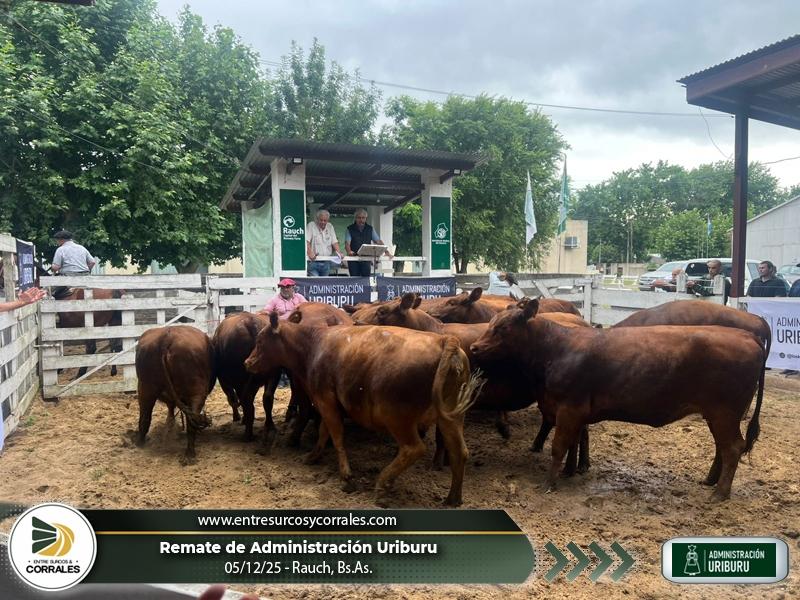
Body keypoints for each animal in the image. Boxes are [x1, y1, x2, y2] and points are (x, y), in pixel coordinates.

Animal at [134, 326, 215, 464]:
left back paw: (140, 443)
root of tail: (166, 338)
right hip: (196, 392)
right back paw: (190, 454)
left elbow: (170, 410)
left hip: (145, 389)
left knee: (144, 418)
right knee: (191, 422)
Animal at [244, 314, 483, 506]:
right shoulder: (329, 403)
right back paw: (453, 499)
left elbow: (336, 437)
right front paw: (313, 456)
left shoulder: (325, 400)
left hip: (397, 417)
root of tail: (445, 341)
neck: (314, 345)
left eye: (260, 341)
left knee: (413, 448)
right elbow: (324, 432)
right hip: (451, 418)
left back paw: (382, 484)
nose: (247, 362)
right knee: (459, 452)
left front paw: (347, 478)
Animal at [470, 299, 766, 501]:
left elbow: (558, 446)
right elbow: (573, 442)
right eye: (492, 323)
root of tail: (748, 335)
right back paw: (710, 481)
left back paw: (720, 493)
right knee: (721, 447)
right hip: (718, 414)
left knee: (732, 448)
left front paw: (549, 483)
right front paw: (569, 472)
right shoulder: (571, 411)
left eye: (503, 327)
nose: (473, 347)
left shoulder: (569, 409)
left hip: (725, 413)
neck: (556, 349)